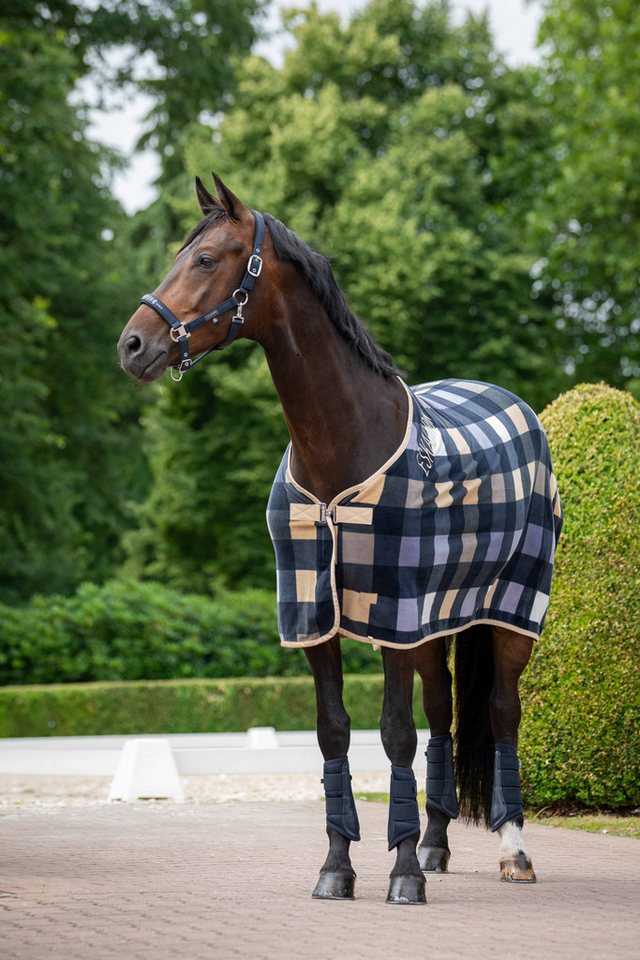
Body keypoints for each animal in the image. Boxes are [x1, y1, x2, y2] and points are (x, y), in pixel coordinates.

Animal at [117, 174, 562, 904]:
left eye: (207, 258)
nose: (131, 345)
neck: (343, 448)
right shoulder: (314, 615)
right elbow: (334, 734)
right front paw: (338, 867)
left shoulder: (394, 616)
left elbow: (395, 735)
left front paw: (402, 874)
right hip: (438, 625)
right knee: (445, 715)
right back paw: (437, 844)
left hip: (511, 613)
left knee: (501, 712)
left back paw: (514, 852)